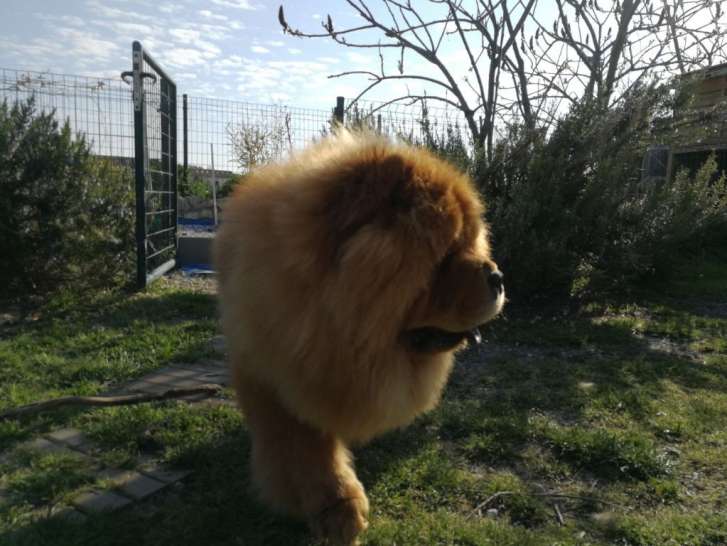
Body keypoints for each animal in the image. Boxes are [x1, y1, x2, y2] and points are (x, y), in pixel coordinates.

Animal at [213, 130, 504, 540]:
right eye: (445, 255)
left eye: (471, 243)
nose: (498, 277)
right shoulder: (270, 372)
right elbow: (301, 447)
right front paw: (336, 508)